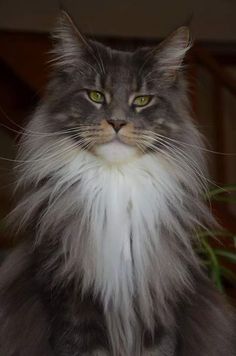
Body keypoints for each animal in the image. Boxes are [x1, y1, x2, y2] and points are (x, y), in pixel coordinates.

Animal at [0, 11, 236, 356]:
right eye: (96, 96)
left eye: (142, 100)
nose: (117, 121)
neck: (116, 181)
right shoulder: (70, 297)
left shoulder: (158, 294)